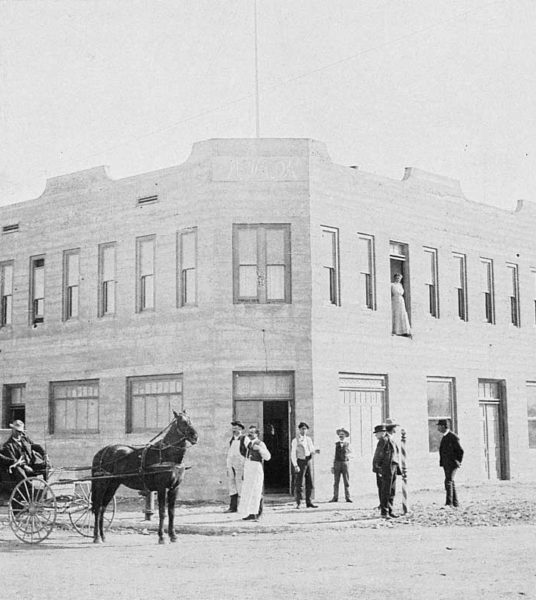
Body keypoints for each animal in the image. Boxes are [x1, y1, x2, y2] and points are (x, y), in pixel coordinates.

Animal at [91, 408, 198, 544]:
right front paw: (161, 537)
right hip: (101, 484)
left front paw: (173, 536)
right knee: (97, 507)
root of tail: (101, 452)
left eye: (190, 420)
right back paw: (96, 537)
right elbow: (162, 512)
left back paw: (103, 536)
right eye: (182, 422)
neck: (166, 454)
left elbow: (172, 512)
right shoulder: (161, 488)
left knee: (103, 508)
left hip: (113, 485)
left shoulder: (174, 488)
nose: (195, 437)